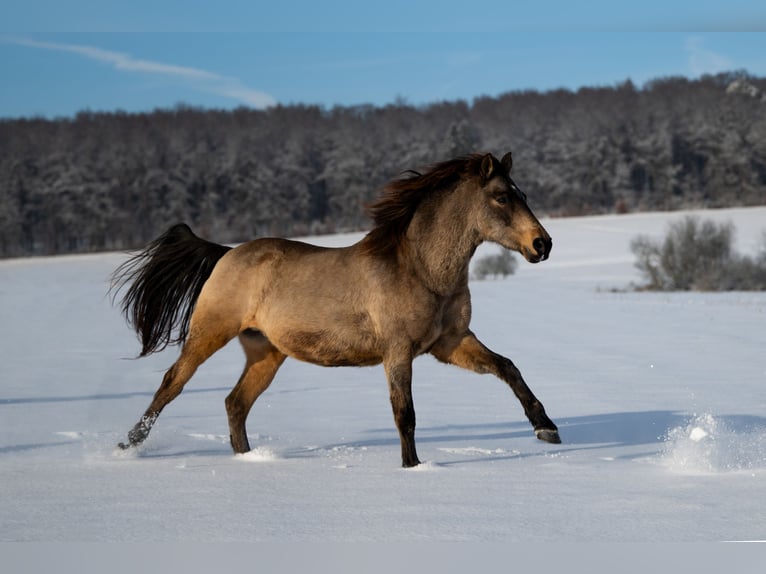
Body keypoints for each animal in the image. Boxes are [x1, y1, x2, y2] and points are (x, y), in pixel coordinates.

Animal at [112, 153, 560, 468]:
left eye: (523, 194)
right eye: (502, 197)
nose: (542, 244)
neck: (422, 269)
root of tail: (226, 253)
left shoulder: (450, 343)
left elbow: (507, 367)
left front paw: (547, 429)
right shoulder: (398, 351)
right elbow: (405, 412)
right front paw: (412, 467)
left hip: (266, 352)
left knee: (235, 403)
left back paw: (246, 459)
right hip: (209, 332)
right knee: (172, 383)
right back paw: (126, 445)